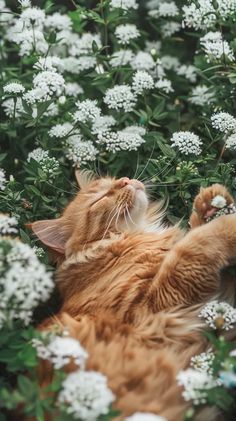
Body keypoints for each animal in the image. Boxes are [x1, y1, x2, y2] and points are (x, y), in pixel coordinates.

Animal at [30, 171, 236, 420]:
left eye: (113, 180)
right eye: (100, 198)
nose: (125, 180)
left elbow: (195, 235)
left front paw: (211, 204)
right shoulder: (150, 309)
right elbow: (195, 244)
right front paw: (225, 222)